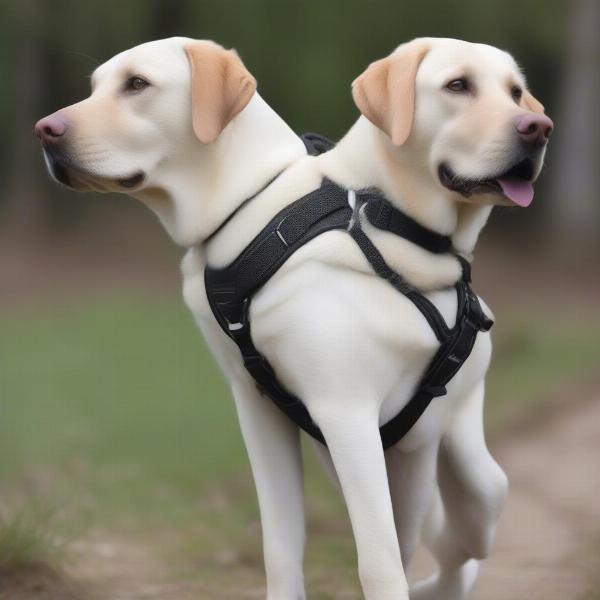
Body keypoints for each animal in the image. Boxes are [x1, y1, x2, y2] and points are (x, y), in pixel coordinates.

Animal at [36, 37, 552, 600]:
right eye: (458, 85)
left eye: (137, 84)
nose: (45, 130)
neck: (252, 207)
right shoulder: (263, 410)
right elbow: (282, 544)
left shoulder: (347, 415)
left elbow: (380, 564)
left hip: (467, 471)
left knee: (464, 535)